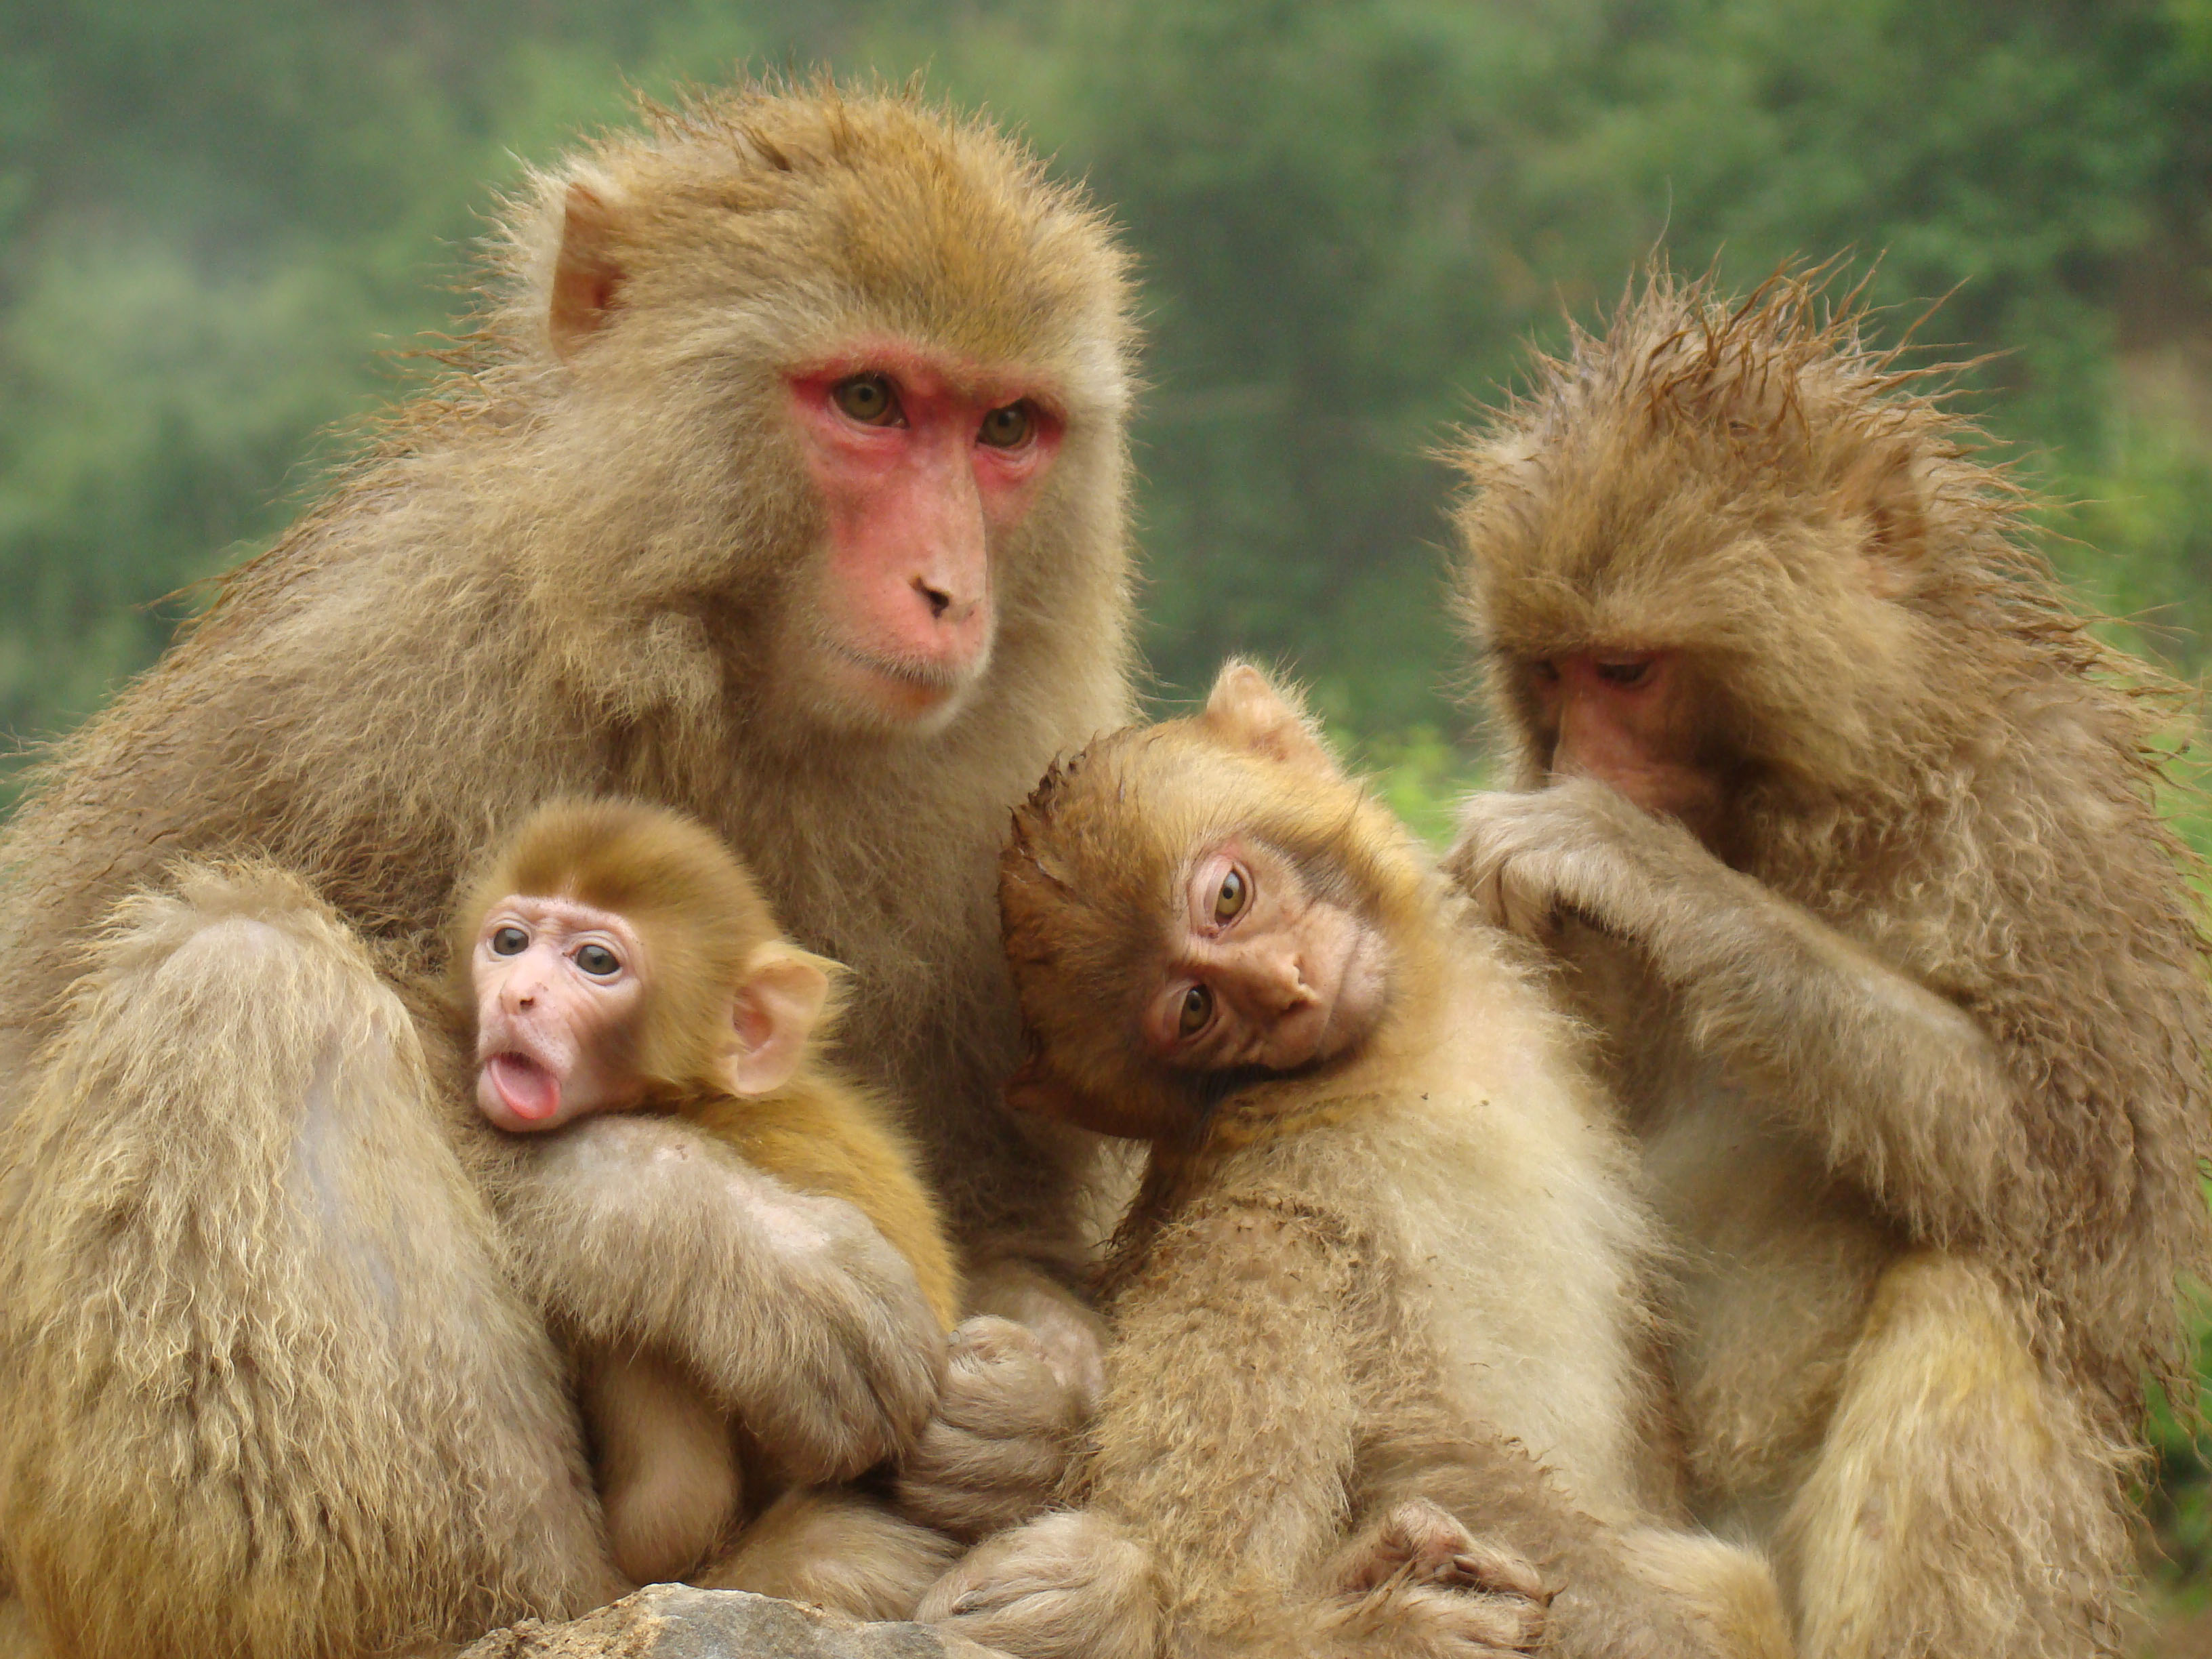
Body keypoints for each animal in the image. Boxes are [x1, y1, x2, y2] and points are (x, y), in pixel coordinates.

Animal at [916, 668, 1796, 1659]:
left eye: (1229, 896)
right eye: (1196, 1010)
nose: (1287, 987)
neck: (1404, 1062)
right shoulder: (1295, 1194)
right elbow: (1403, 1434)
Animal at [1451, 266, 2212, 1654]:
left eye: (1623, 671)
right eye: (1551, 674)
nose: (1575, 763)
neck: (1794, 819)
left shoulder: (2051, 818)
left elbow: (2100, 1212)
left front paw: (1641, 871)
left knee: (1971, 1299)